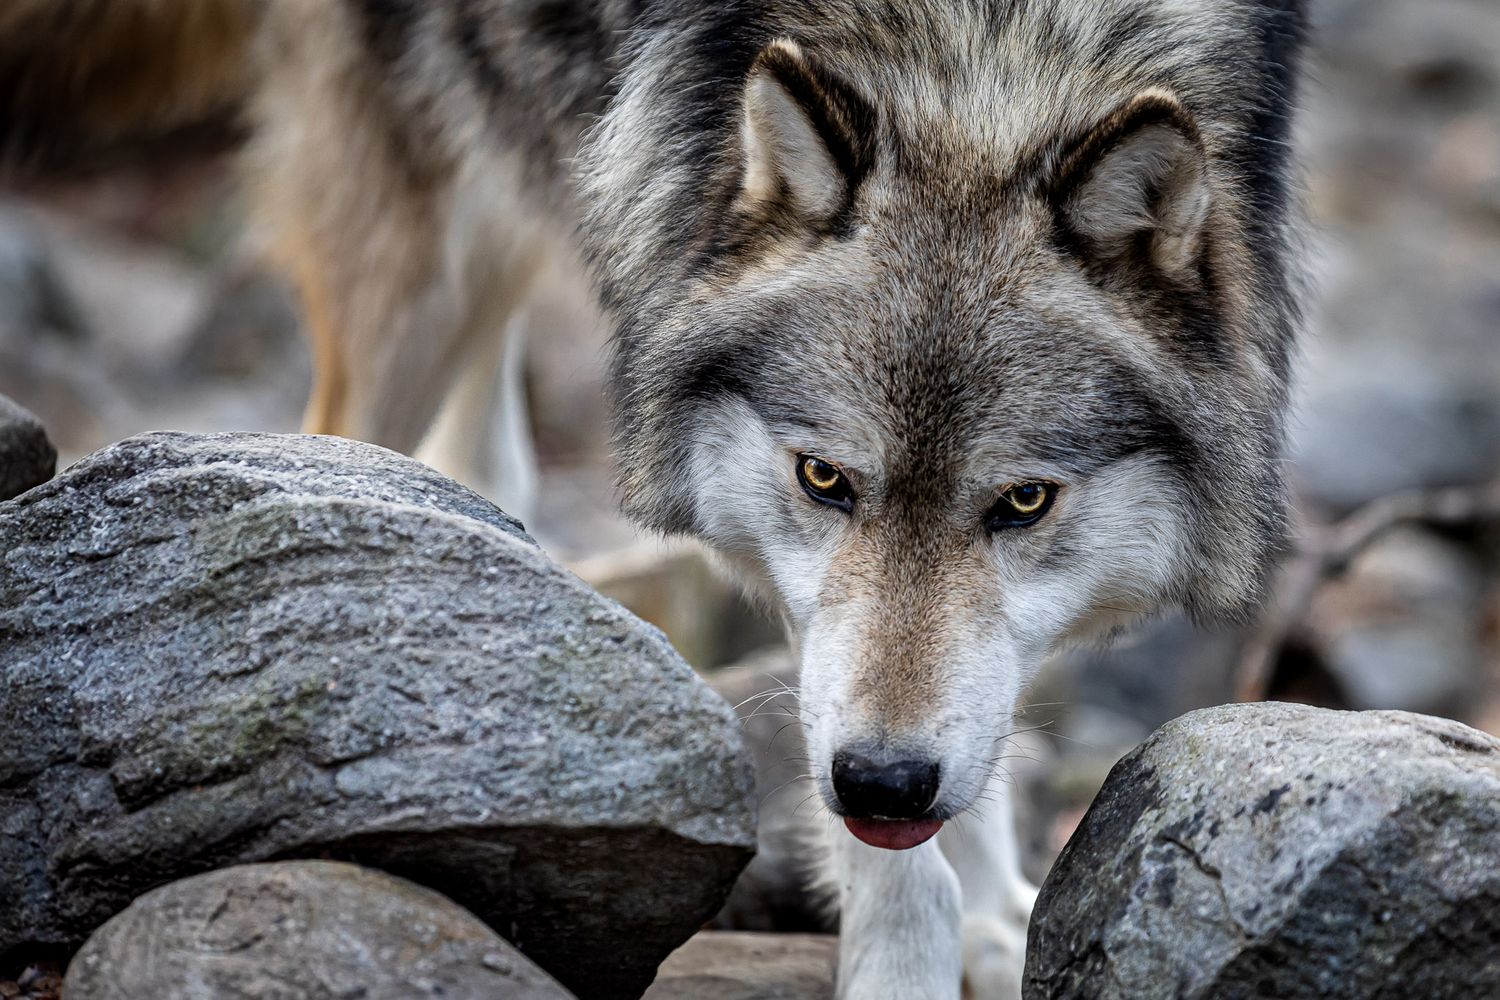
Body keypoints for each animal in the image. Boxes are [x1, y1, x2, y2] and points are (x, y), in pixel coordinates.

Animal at [2, 0, 1306, 995]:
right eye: (823, 478)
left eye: (1024, 503)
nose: (884, 781)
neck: (975, 61)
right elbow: (873, 817)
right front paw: (910, 959)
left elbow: (974, 715)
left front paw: (991, 909)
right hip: (423, 246)